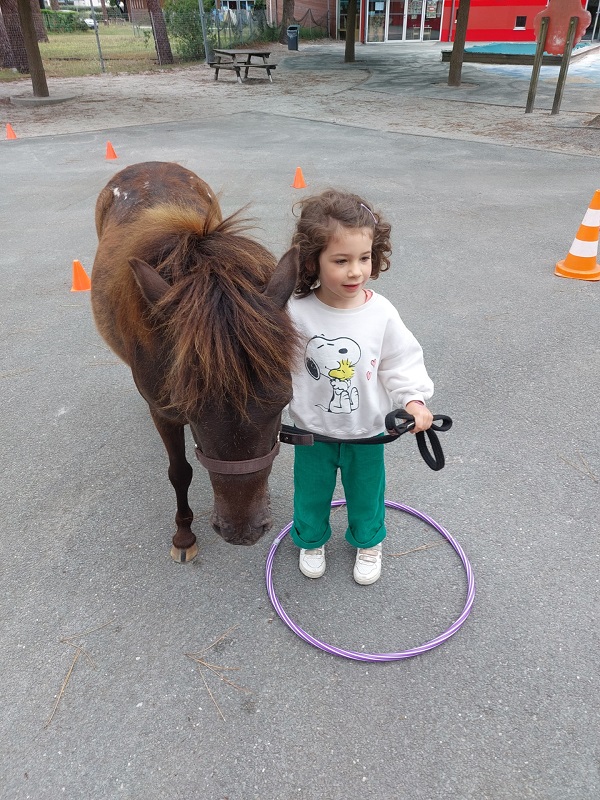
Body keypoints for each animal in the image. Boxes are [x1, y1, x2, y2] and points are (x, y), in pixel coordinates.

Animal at [91, 161, 299, 561]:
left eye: (284, 402)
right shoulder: (165, 413)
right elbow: (180, 471)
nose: (242, 532)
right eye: (189, 411)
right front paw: (183, 535)